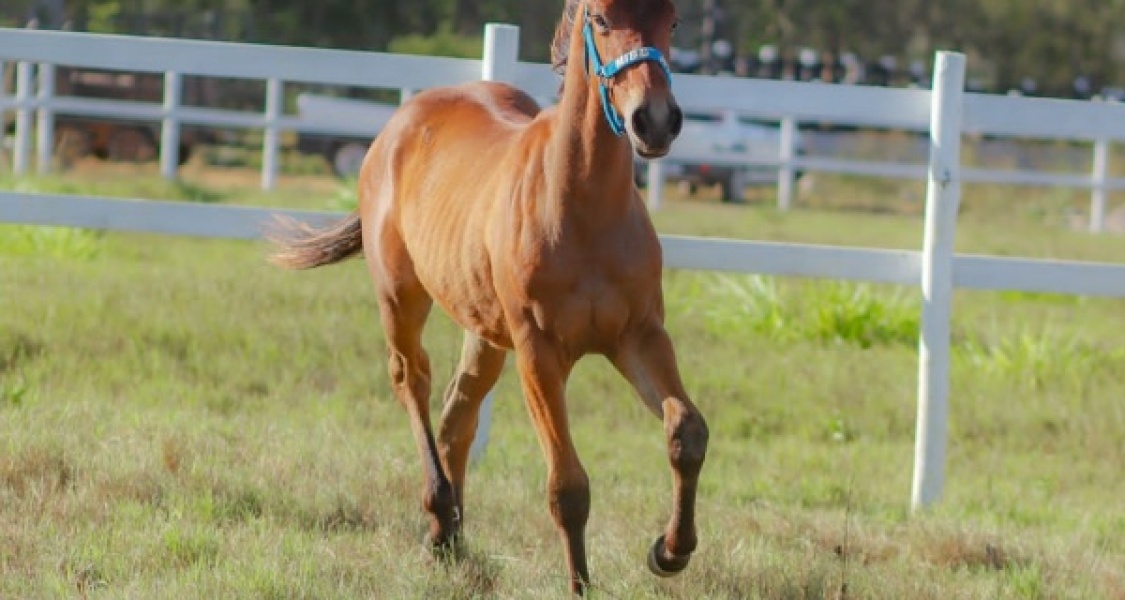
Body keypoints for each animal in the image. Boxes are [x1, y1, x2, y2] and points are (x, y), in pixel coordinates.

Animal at [271, 0, 706, 589]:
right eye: (600, 19)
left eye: (674, 21)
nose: (655, 120)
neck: (583, 208)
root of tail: (401, 122)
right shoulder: (538, 351)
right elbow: (567, 486)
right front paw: (582, 585)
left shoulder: (639, 335)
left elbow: (687, 430)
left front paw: (669, 550)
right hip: (401, 298)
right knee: (413, 381)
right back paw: (438, 515)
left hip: (483, 329)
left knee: (459, 412)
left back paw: (450, 537)